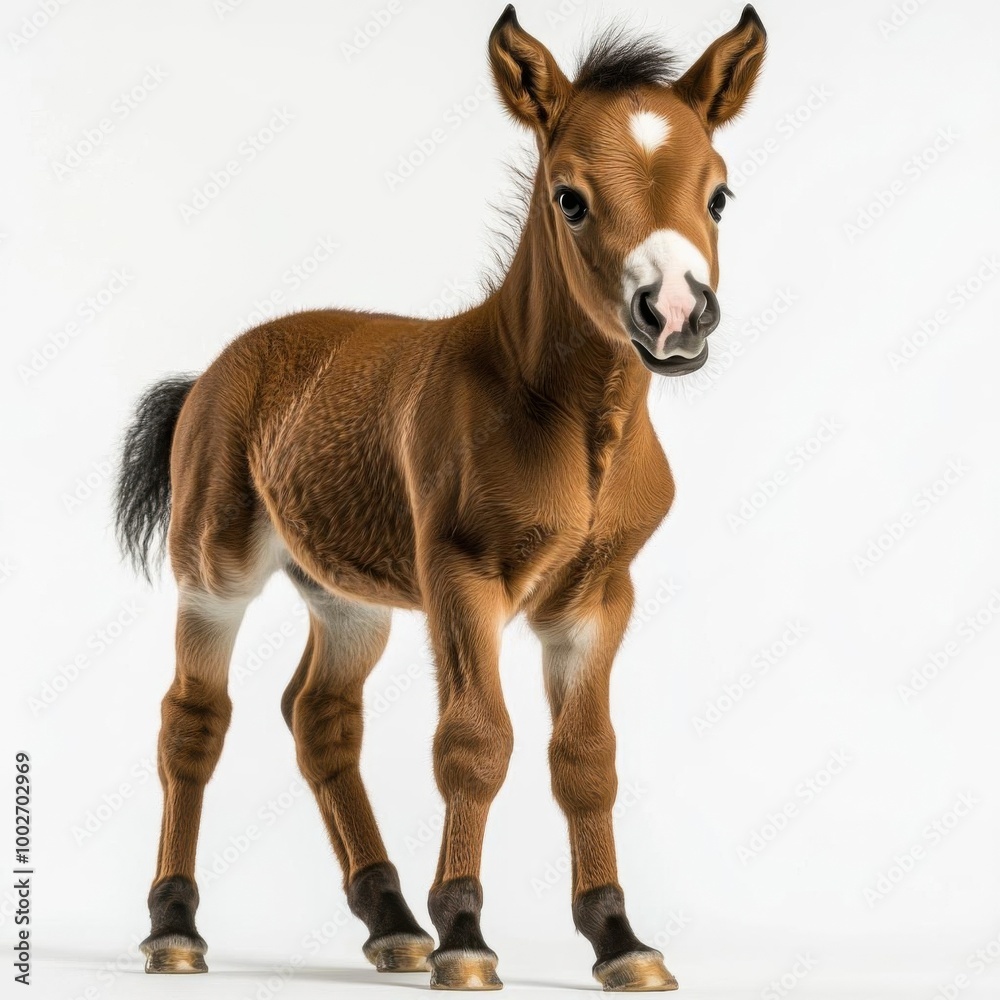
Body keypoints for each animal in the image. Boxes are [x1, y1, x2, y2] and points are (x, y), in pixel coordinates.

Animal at [114, 4, 766, 991]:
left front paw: (620, 941)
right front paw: (465, 937)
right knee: (192, 719)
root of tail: (213, 372)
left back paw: (390, 921)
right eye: (570, 198)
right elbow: (474, 741)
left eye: (720, 195)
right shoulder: (462, 576)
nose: (678, 314)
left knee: (320, 718)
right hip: (213, 570)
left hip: (347, 601)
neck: (574, 425)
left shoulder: (598, 599)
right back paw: (175, 927)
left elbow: (587, 759)